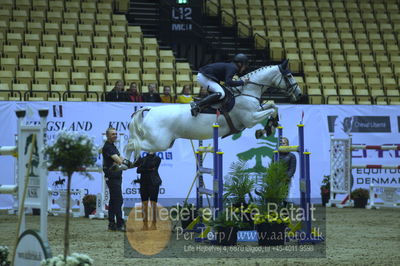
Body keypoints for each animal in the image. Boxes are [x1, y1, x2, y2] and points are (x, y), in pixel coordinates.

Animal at [125, 59, 300, 160]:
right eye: (289, 75)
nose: (299, 93)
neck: (248, 90)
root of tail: (150, 110)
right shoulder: (250, 119)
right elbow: (270, 110)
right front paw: (267, 129)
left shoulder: (257, 110)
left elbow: (273, 106)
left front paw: (270, 126)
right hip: (158, 142)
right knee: (132, 144)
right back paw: (124, 163)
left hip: (163, 143)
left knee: (133, 143)